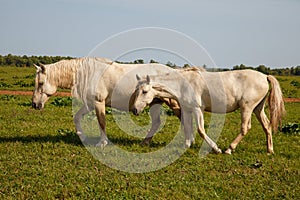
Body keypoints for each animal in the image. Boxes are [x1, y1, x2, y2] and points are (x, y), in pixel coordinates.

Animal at [132, 68, 284, 154]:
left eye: (145, 91)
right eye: (137, 90)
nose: (134, 109)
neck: (183, 84)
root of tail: (265, 76)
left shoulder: (197, 109)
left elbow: (200, 130)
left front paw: (216, 149)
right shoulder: (187, 110)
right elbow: (187, 127)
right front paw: (187, 145)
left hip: (247, 108)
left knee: (245, 128)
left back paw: (229, 149)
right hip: (258, 109)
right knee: (267, 125)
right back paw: (269, 150)